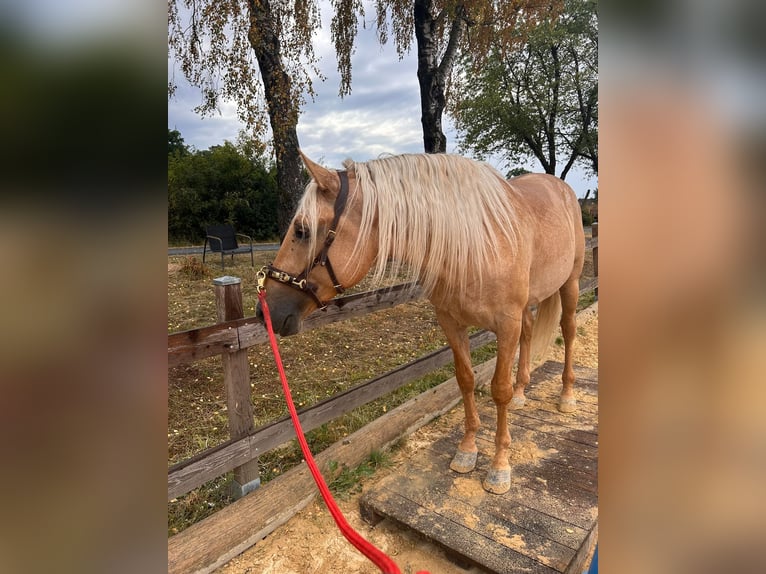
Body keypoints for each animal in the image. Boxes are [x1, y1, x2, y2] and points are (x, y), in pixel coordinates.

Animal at [257, 151, 585, 494]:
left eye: (302, 230)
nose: (266, 311)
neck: (476, 245)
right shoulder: (451, 323)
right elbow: (466, 380)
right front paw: (467, 450)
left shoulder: (506, 326)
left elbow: (499, 390)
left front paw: (499, 467)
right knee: (529, 334)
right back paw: (523, 392)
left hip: (570, 285)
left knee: (568, 331)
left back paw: (567, 396)